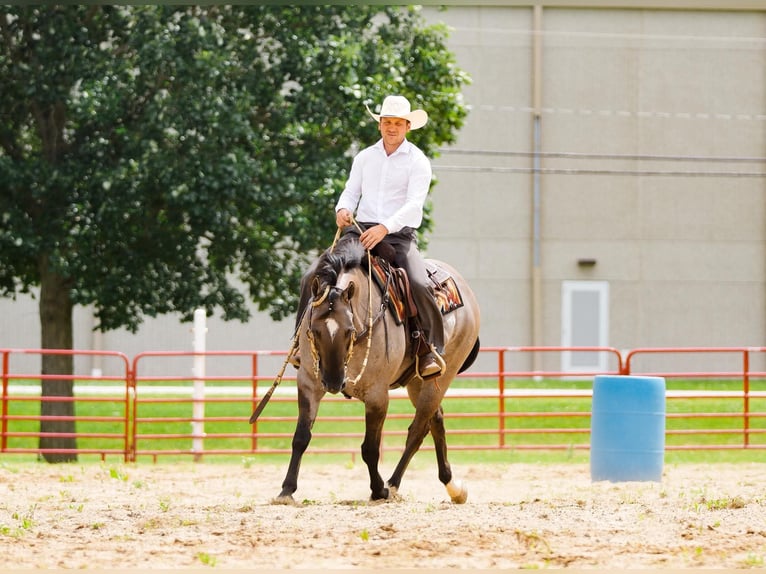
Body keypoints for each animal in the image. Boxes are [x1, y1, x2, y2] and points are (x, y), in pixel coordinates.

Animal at [270, 233, 480, 504]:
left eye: (348, 330)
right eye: (314, 330)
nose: (333, 382)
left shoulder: (377, 396)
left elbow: (370, 448)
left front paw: (378, 490)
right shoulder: (308, 383)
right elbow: (301, 438)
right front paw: (287, 490)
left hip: (444, 376)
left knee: (417, 430)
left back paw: (393, 484)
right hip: (417, 382)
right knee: (435, 421)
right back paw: (453, 486)